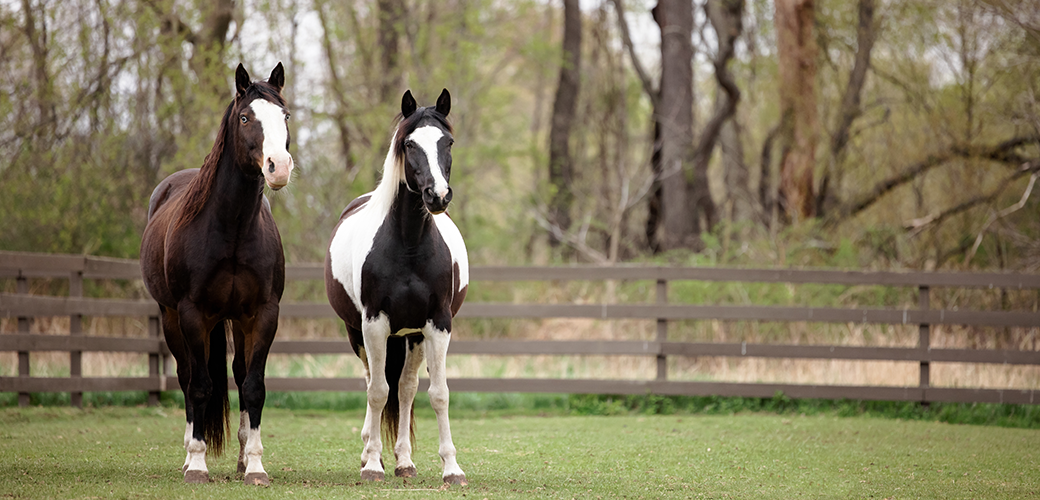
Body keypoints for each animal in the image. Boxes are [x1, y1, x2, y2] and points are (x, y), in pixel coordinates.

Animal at [138, 61, 293, 482]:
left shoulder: (262, 314)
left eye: (285, 116)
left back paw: (240, 457)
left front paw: (254, 465)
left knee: (237, 374)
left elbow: (253, 386)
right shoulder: (192, 314)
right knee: (187, 376)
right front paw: (197, 463)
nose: (279, 167)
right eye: (245, 118)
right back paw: (190, 452)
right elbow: (201, 386)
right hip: (171, 318)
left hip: (236, 322)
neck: (233, 228)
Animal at [326, 88, 470, 482]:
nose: (438, 196)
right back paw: (368, 452)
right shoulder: (374, 323)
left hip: (412, 336)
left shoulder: (437, 324)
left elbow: (438, 394)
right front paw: (373, 464)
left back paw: (404, 461)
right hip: (358, 333)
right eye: (409, 144)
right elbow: (377, 392)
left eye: (448, 141)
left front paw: (452, 467)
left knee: (405, 390)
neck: (408, 244)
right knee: (372, 382)